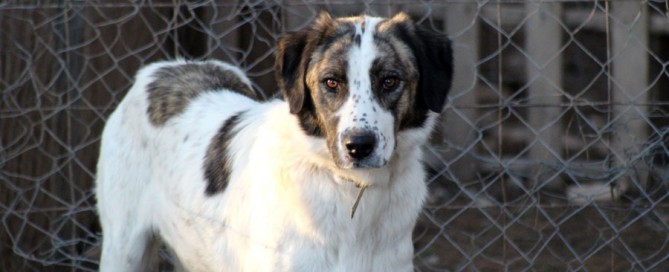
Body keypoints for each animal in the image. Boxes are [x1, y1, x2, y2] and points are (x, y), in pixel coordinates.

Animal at [96, 11, 452, 270]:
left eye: (390, 81)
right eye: (331, 82)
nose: (359, 146)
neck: (348, 189)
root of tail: (164, 67)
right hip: (122, 249)